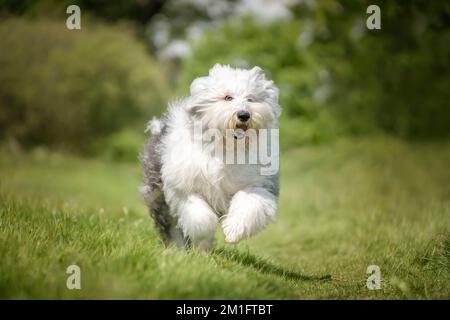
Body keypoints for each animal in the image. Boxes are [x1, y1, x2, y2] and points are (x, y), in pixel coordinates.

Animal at [141, 64, 282, 250]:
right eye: (228, 97)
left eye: (251, 99)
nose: (244, 115)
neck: (225, 146)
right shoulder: (183, 188)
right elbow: (200, 217)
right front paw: (204, 243)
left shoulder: (258, 184)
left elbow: (250, 204)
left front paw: (233, 231)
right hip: (158, 195)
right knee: (170, 226)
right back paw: (177, 249)